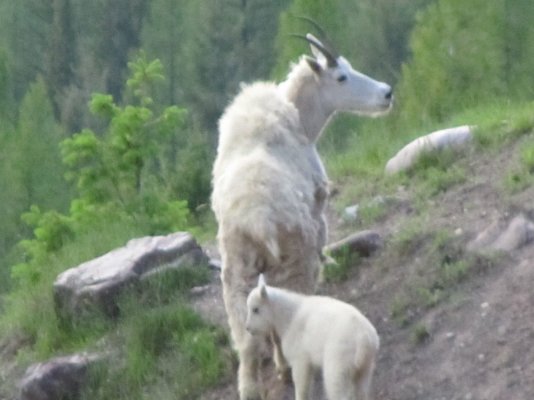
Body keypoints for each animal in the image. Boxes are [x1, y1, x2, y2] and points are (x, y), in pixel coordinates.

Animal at [213, 28, 394, 400]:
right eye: (340, 77)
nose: (387, 93)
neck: (299, 117)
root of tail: (256, 218)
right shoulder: (318, 210)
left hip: (235, 268)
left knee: (247, 338)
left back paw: (251, 386)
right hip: (294, 253)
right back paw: (285, 365)